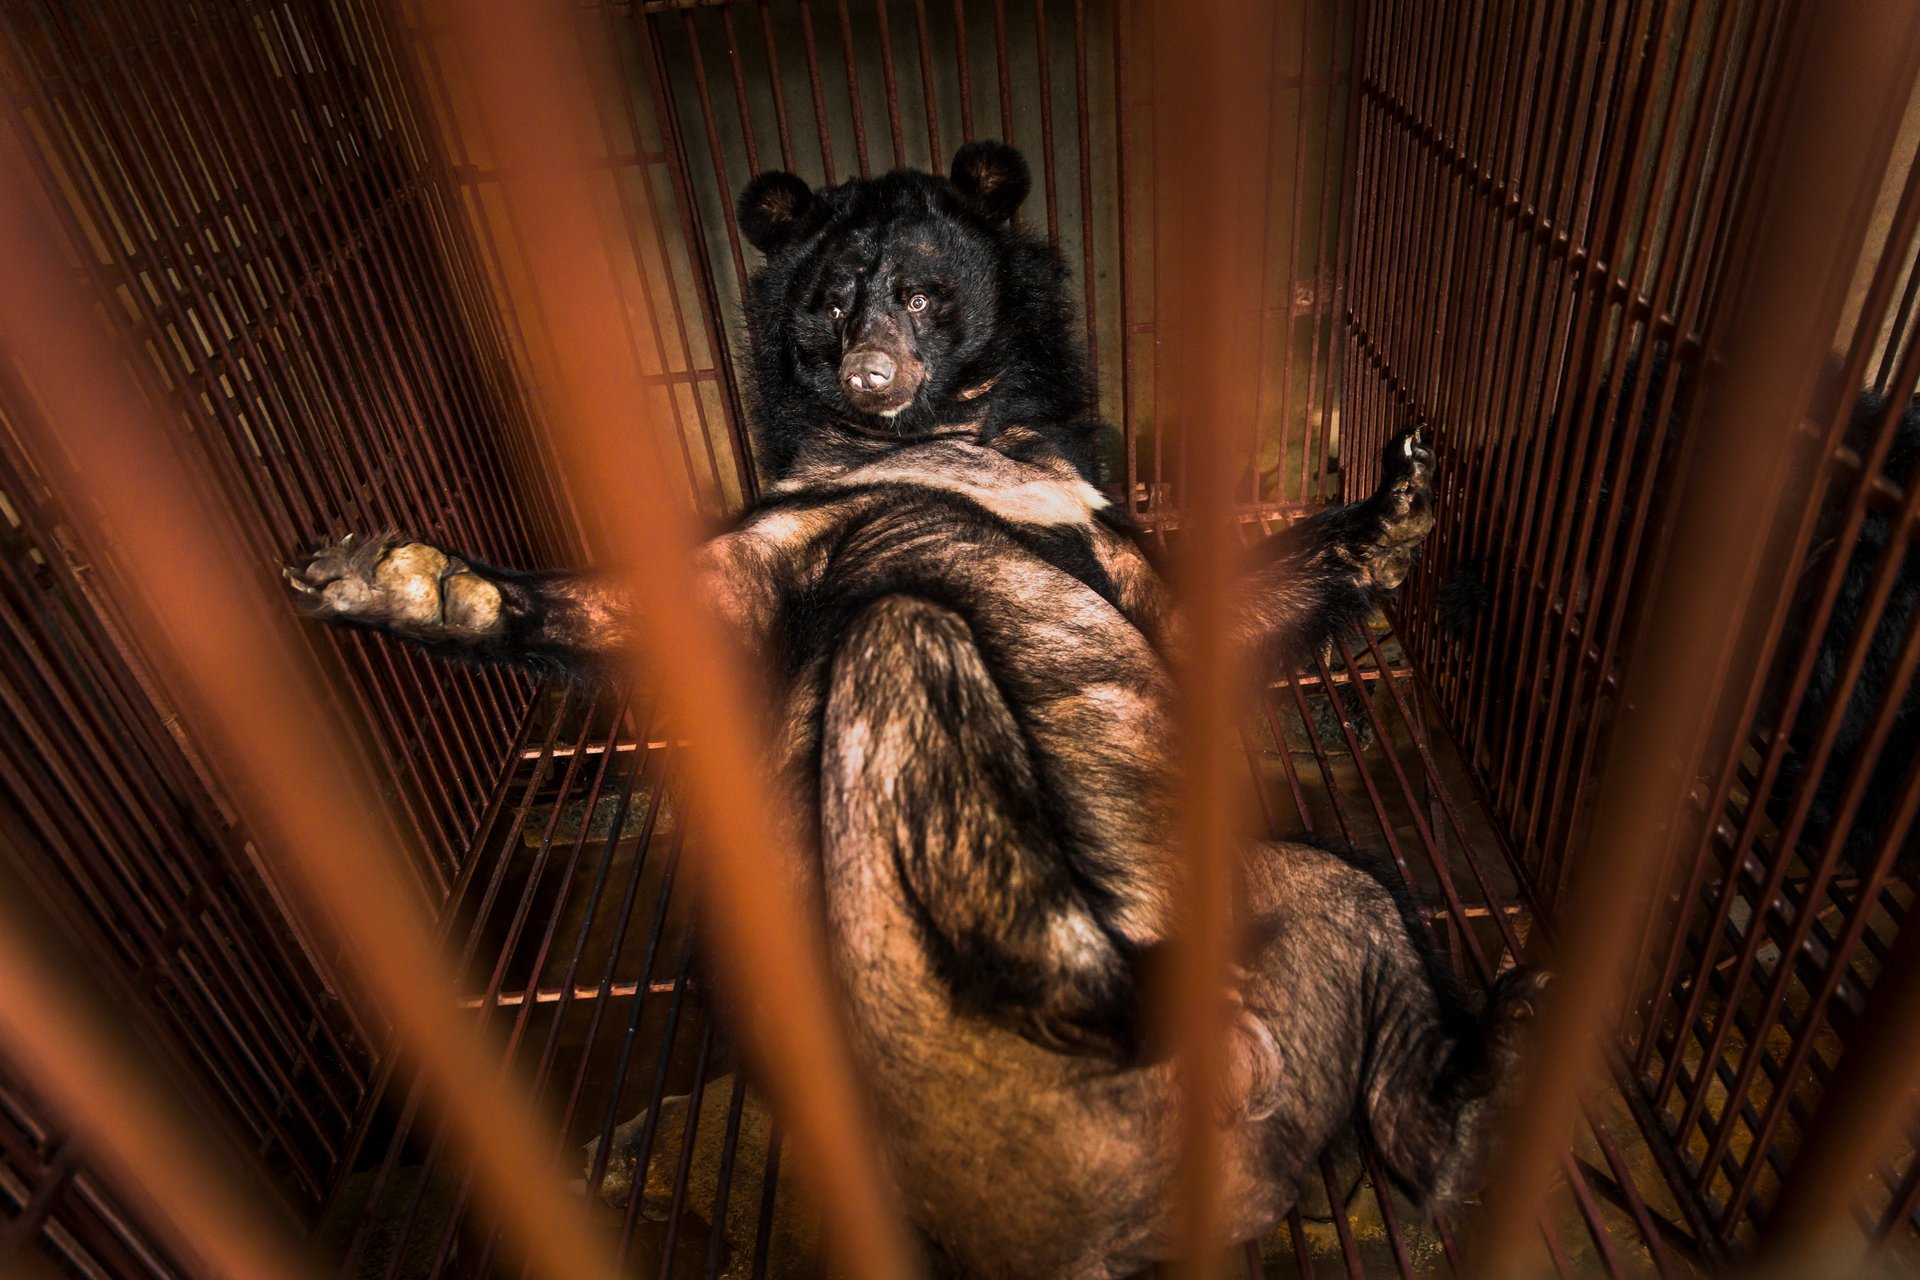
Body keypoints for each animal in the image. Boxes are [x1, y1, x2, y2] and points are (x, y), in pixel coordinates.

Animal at [288, 142, 1543, 1280]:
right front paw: (395, 581)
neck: (943, 443)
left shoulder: (1098, 520)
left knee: (1375, 946)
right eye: (833, 296)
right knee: (909, 648)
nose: (871, 375)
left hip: (1299, 907)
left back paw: (1490, 1082)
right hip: (912, 994)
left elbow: (1205, 622)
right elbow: (684, 603)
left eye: (928, 293)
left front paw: (1404, 494)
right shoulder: (799, 523)